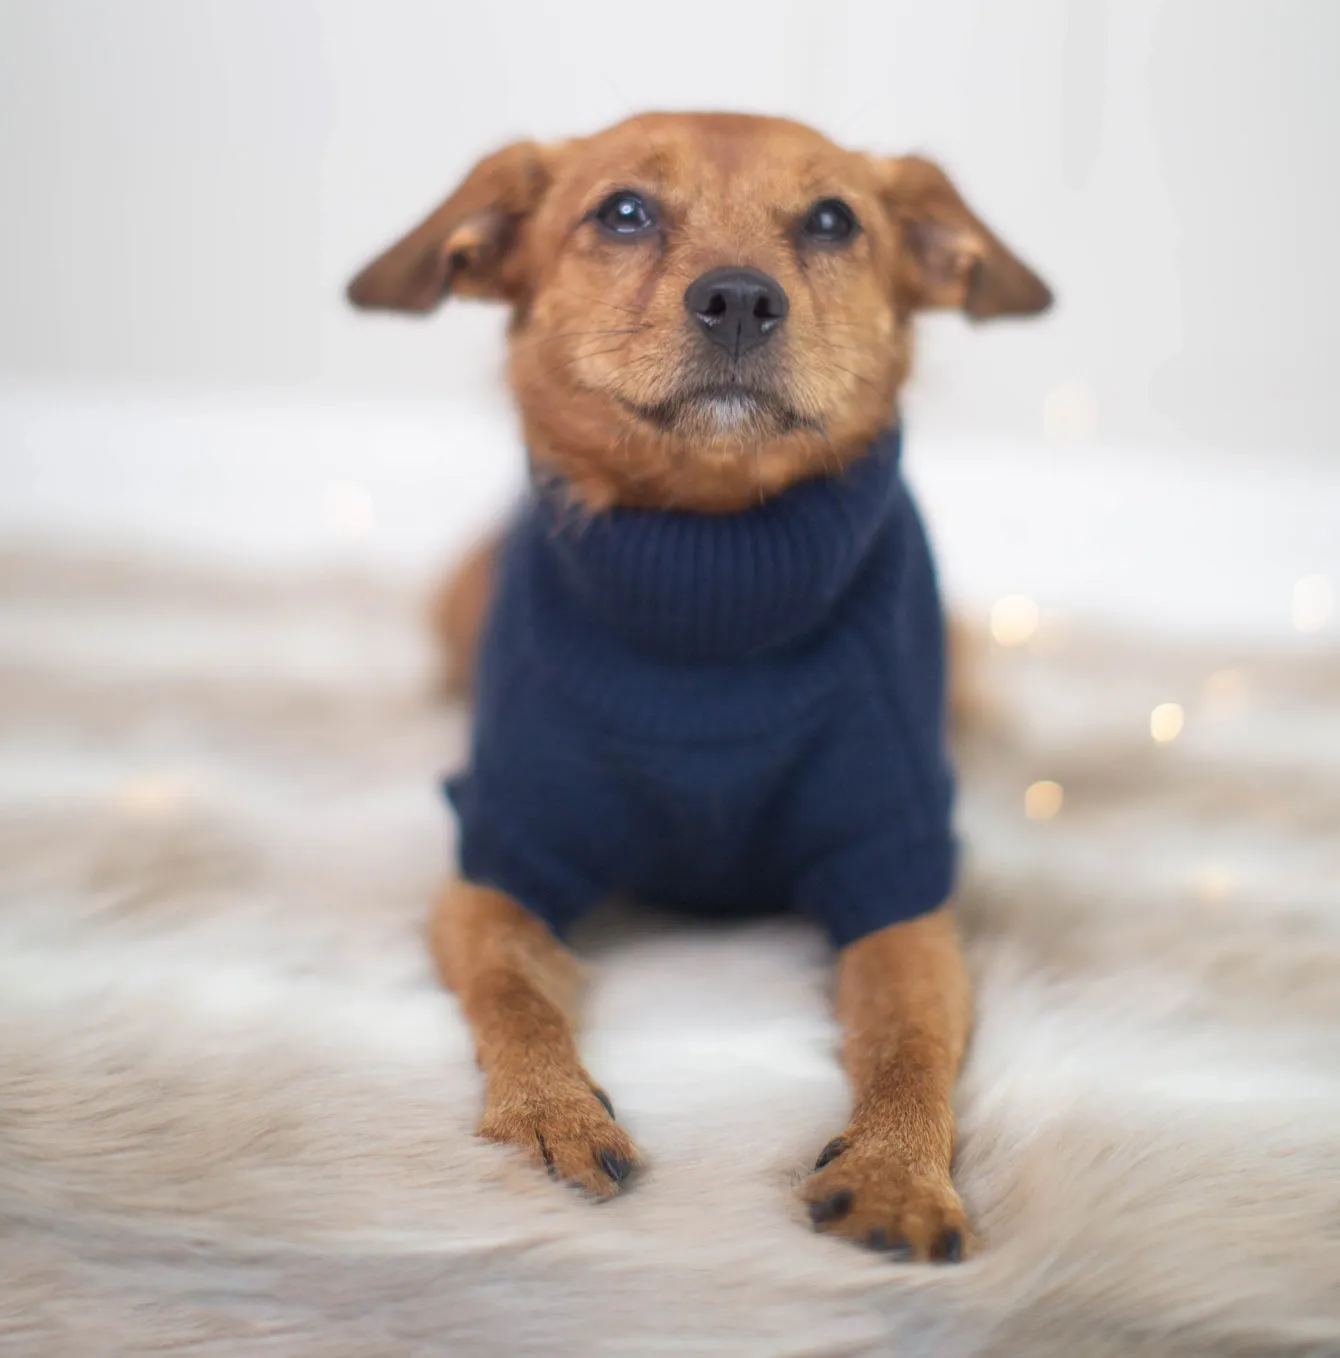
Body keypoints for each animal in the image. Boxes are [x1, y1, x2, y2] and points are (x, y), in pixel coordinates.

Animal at [347, 111, 1058, 1254]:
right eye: (623, 211)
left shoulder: (899, 872)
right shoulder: (497, 858)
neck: (712, 584)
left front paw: (896, 1168)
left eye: (833, 220)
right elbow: (514, 996)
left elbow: (910, 1040)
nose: (738, 297)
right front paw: (552, 1111)